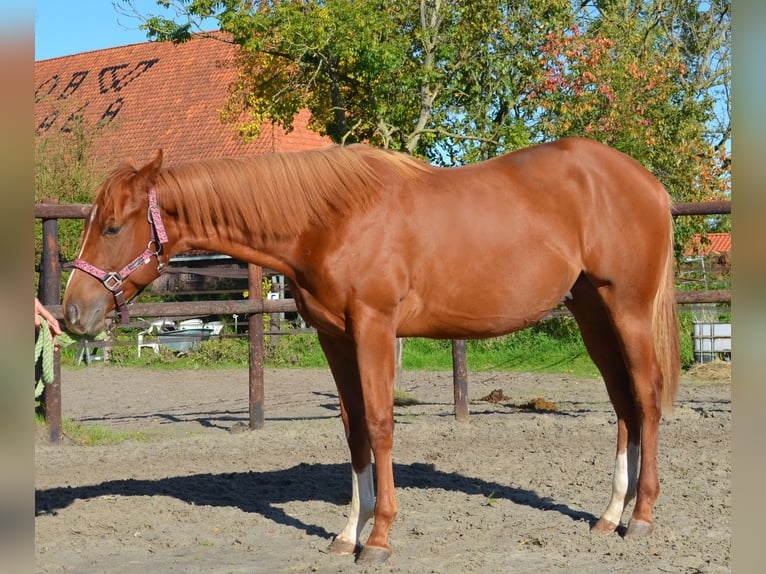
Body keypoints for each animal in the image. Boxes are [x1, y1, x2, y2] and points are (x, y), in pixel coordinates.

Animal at [63, 140, 680, 568]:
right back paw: (609, 515)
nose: (72, 314)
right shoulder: (335, 337)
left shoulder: (375, 328)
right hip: (591, 312)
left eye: (112, 227)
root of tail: (647, 184)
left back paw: (642, 517)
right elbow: (354, 429)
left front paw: (379, 538)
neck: (328, 220)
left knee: (646, 400)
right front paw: (346, 534)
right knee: (623, 405)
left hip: (626, 310)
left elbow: (382, 424)